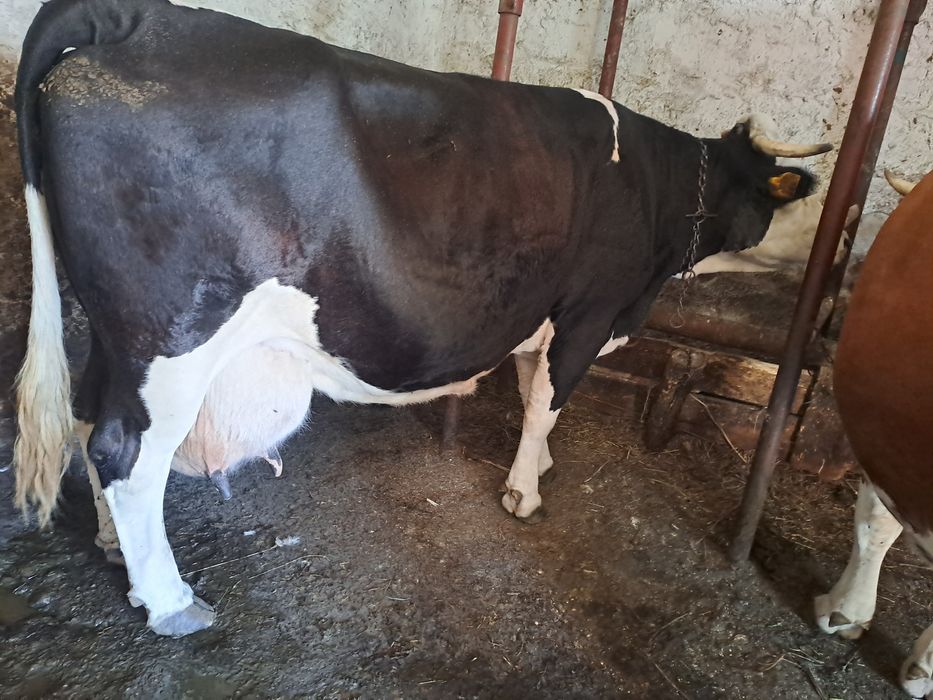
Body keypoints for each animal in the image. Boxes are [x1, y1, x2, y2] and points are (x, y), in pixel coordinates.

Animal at [13, 0, 830, 636]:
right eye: (800, 194)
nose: (836, 264)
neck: (658, 199)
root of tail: (137, 19)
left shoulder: (544, 309)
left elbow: (532, 388)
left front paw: (539, 464)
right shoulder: (590, 308)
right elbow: (548, 397)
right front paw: (524, 493)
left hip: (117, 334)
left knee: (88, 420)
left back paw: (116, 553)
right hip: (174, 336)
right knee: (126, 453)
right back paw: (170, 600)